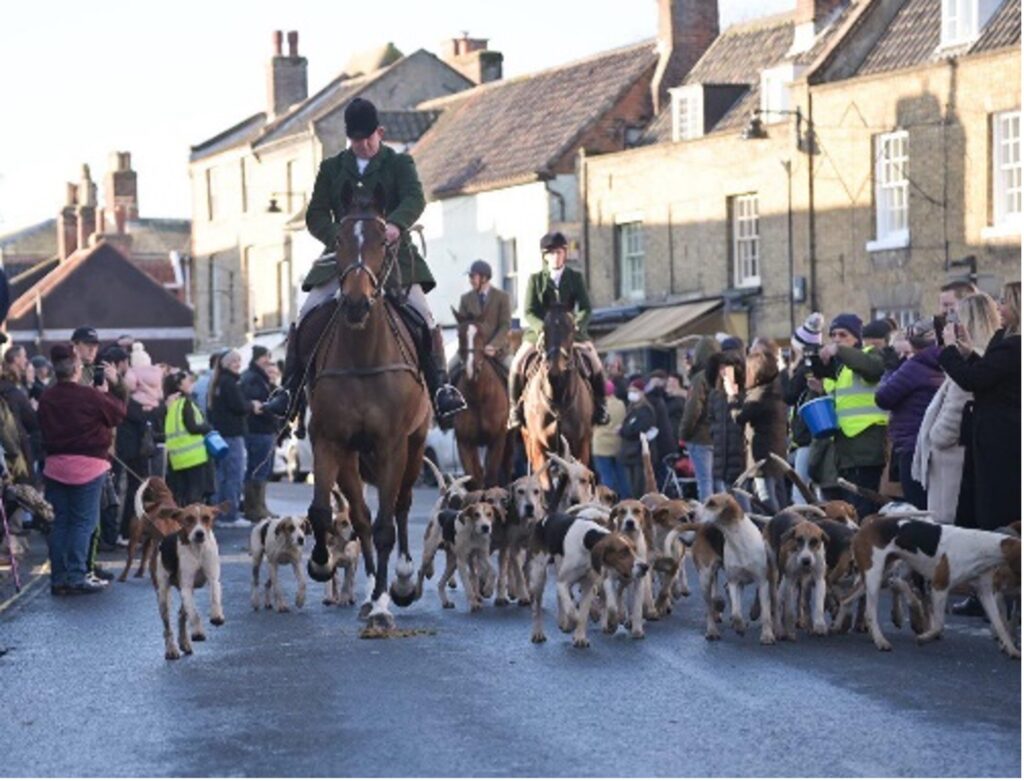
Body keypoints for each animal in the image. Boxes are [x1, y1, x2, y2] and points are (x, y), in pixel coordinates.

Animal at [305, 182, 430, 630]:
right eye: (340, 239)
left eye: (381, 239)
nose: (357, 302)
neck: (361, 354)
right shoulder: (328, 441)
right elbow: (324, 512)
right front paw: (321, 563)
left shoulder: (392, 444)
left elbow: (386, 524)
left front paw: (382, 604)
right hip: (351, 458)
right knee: (359, 515)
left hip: (415, 444)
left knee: (402, 505)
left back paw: (402, 582)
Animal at [452, 311, 512, 489]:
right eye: (459, 335)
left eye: (482, 335)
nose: (471, 370)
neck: (478, 396)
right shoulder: (464, 442)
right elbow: (474, 479)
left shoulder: (497, 439)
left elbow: (491, 477)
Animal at [520, 305, 593, 483]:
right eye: (544, 329)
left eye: (572, 329)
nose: (555, 368)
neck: (558, 396)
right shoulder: (539, 448)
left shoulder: (580, 445)